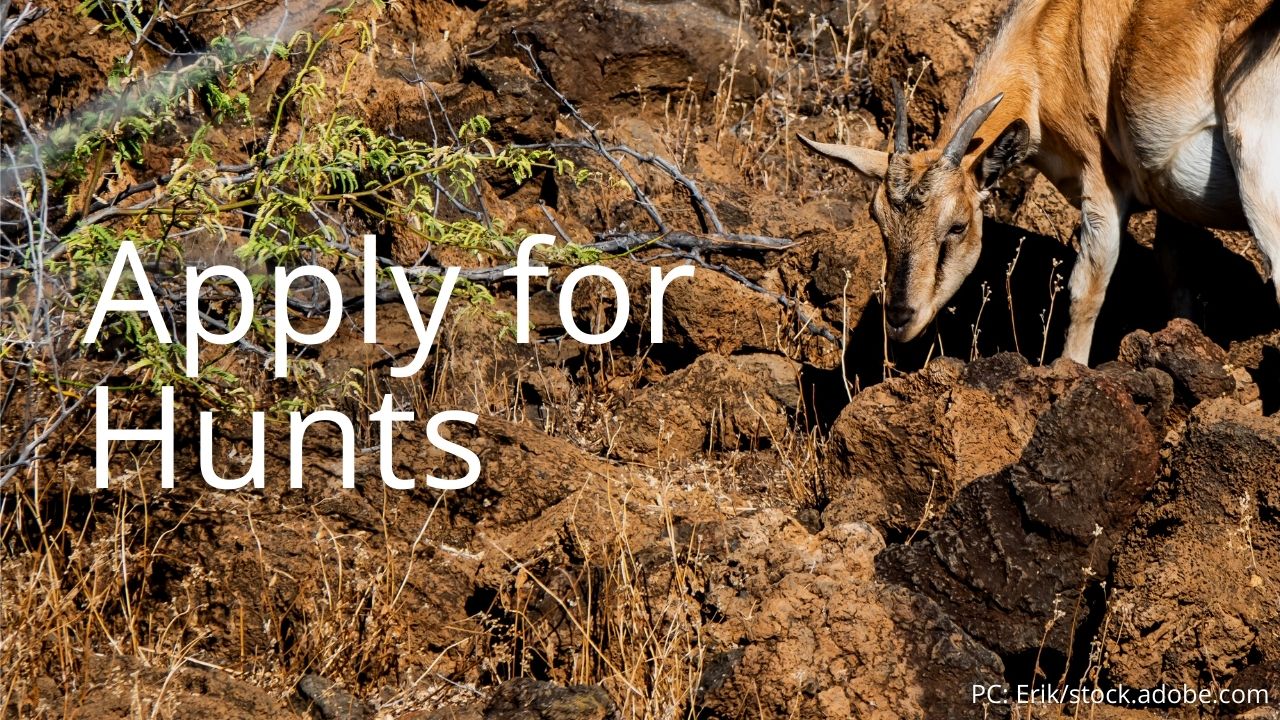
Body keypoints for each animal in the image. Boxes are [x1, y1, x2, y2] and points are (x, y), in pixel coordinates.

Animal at [801, 0, 1280, 365]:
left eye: (957, 226)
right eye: (879, 222)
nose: (901, 318)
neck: (1052, 31)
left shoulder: (1101, 183)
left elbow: (1087, 289)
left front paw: (1069, 369)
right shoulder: (1170, 200)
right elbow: (1175, 280)